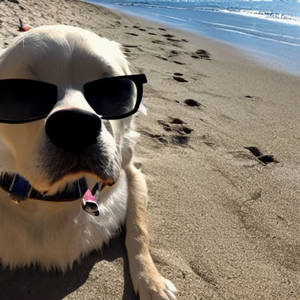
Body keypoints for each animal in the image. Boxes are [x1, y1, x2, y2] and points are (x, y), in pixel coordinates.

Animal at [0, 24, 177, 298]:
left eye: (113, 90)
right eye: (22, 94)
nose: (75, 125)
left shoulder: (130, 171)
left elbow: (138, 229)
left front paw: (152, 282)